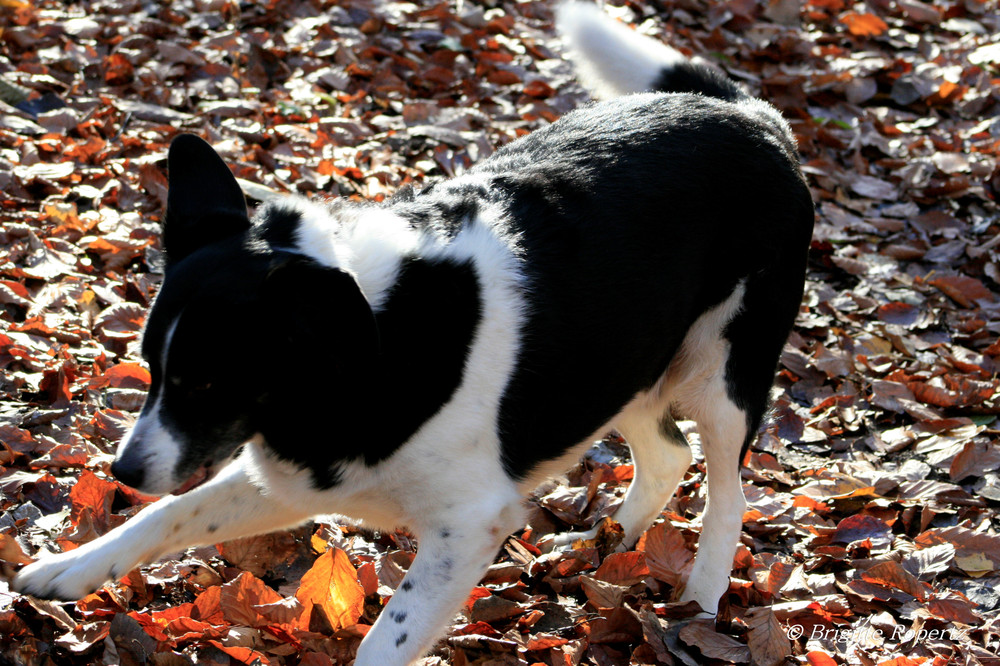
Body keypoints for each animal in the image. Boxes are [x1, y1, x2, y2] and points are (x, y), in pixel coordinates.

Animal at [13, 3, 812, 660]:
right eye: (149, 366)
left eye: (208, 379)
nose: (121, 473)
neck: (364, 348)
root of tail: (749, 113)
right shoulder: (295, 477)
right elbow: (172, 516)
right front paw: (70, 569)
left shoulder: (468, 525)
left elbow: (383, 643)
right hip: (621, 364)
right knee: (668, 455)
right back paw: (597, 547)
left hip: (721, 372)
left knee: (727, 494)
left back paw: (699, 603)